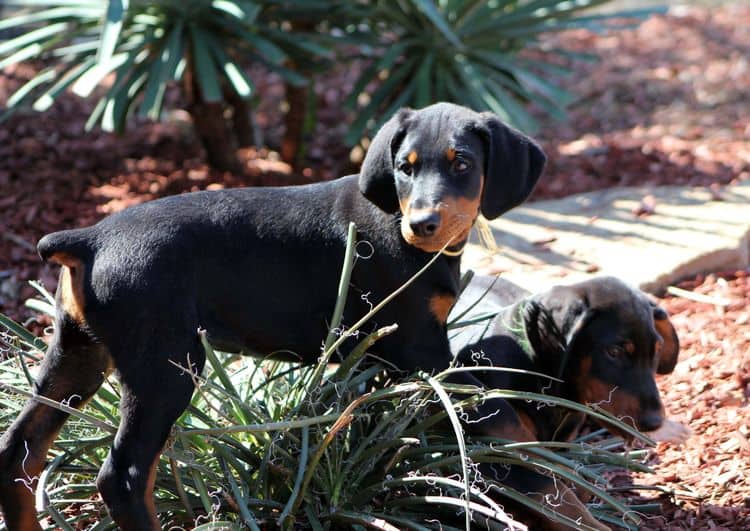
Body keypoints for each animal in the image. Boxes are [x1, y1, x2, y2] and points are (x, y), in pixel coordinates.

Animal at [0, 104, 548, 531]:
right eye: (404, 167)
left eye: (463, 163)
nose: (422, 224)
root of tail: (90, 239)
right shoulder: (423, 349)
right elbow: (498, 415)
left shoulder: (379, 358)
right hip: (164, 366)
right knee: (124, 476)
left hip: (78, 352)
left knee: (20, 451)